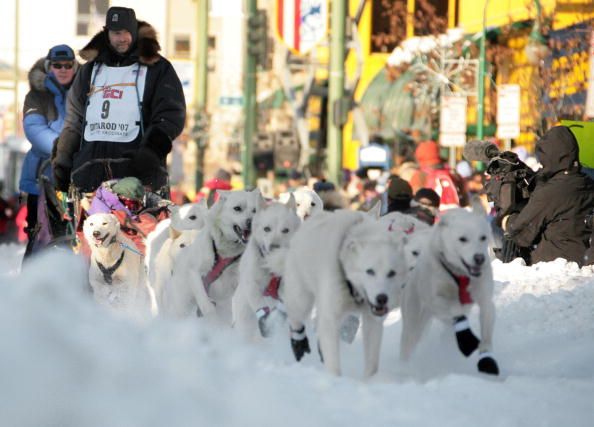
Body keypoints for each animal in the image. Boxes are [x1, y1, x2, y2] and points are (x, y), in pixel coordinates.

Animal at [163, 189, 262, 322]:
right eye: (237, 208)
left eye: (255, 210)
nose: (251, 222)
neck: (224, 252)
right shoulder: (195, 272)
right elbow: (206, 304)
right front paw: (212, 319)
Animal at [232, 196, 300, 340]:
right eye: (266, 229)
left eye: (285, 230)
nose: (274, 247)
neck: (270, 266)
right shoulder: (252, 283)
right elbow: (259, 302)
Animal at [282, 211, 408, 378]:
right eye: (370, 271)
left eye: (391, 273)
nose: (382, 298)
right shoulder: (330, 317)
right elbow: (333, 362)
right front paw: (334, 379)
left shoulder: (372, 322)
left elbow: (372, 362)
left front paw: (370, 380)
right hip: (301, 299)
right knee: (296, 320)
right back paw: (298, 343)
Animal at [396, 206, 498, 374]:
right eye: (463, 239)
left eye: (483, 237)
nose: (479, 258)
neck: (461, 276)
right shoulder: (437, 300)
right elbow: (455, 310)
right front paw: (467, 339)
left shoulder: (486, 301)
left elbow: (487, 333)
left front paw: (487, 359)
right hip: (413, 321)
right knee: (408, 344)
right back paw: (404, 368)